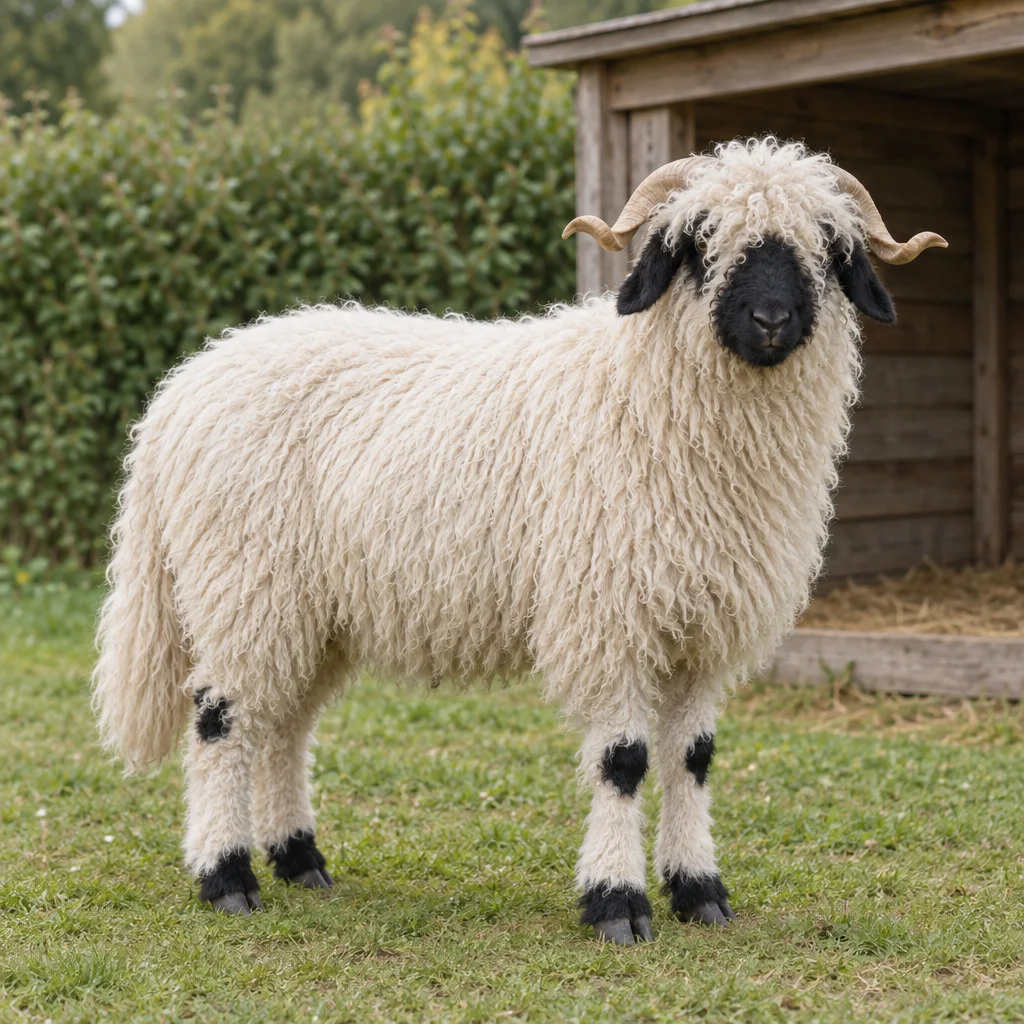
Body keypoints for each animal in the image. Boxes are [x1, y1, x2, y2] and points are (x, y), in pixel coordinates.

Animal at [92, 138, 946, 943]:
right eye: (699, 243)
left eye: (828, 249)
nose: (771, 321)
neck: (641, 393)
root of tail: (180, 393)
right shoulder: (609, 615)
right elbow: (625, 761)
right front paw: (617, 903)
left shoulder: (701, 628)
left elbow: (692, 760)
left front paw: (699, 891)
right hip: (243, 584)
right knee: (221, 721)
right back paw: (226, 878)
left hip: (311, 609)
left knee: (283, 728)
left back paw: (301, 862)